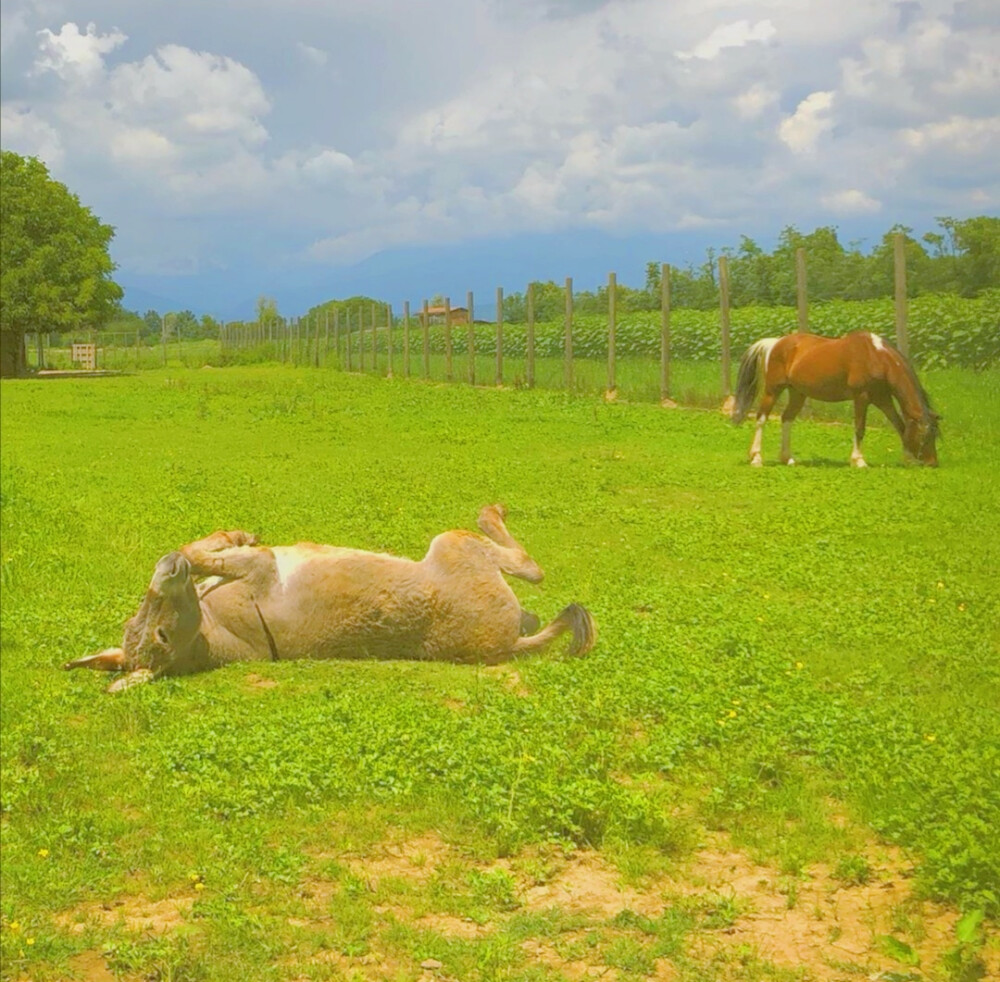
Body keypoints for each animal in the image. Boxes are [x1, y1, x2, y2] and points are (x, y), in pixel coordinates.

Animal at [66, 508, 596, 692]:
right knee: (530, 566)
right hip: (455, 546)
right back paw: (491, 515)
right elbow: (207, 553)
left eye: (145, 623)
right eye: (161, 635)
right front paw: (217, 547)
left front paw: (230, 534)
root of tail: (504, 646)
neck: (215, 627)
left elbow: (205, 549)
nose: (165, 567)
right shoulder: (259, 568)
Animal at [736, 330, 936, 468]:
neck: (875, 356)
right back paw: (756, 458)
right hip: (773, 390)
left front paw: (908, 458)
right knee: (761, 418)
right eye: (925, 436)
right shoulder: (861, 397)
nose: (932, 462)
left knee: (787, 419)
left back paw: (788, 458)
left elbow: (900, 426)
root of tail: (775, 343)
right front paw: (858, 461)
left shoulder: (883, 399)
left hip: (798, 393)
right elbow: (859, 428)